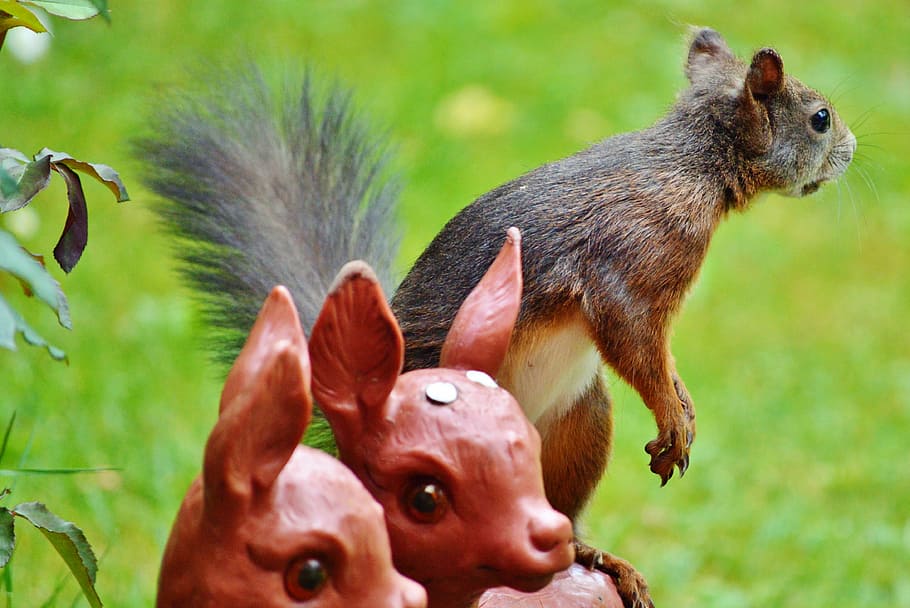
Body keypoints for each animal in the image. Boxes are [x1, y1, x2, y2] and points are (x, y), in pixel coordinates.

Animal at [137, 27, 854, 608]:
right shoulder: (632, 261)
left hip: (576, 427)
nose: (850, 148)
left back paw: (591, 557)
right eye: (819, 118)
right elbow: (634, 341)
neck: (693, 163)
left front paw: (682, 400)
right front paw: (671, 413)